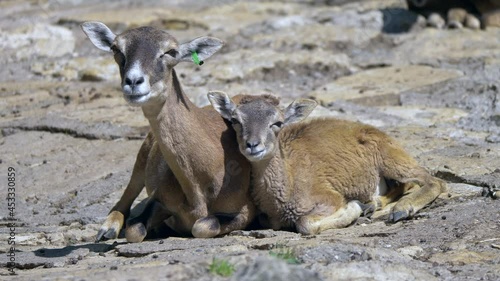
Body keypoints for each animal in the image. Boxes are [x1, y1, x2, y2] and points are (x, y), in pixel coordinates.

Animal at [208, 92, 450, 234]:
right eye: (235, 121)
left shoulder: (327, 197)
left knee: (433, 180)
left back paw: (401, 209)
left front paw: (354, 207)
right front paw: (362, 206)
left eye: (277, 123)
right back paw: (374, 204)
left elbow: (305, 224)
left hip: (392, 160)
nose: (252, 145)